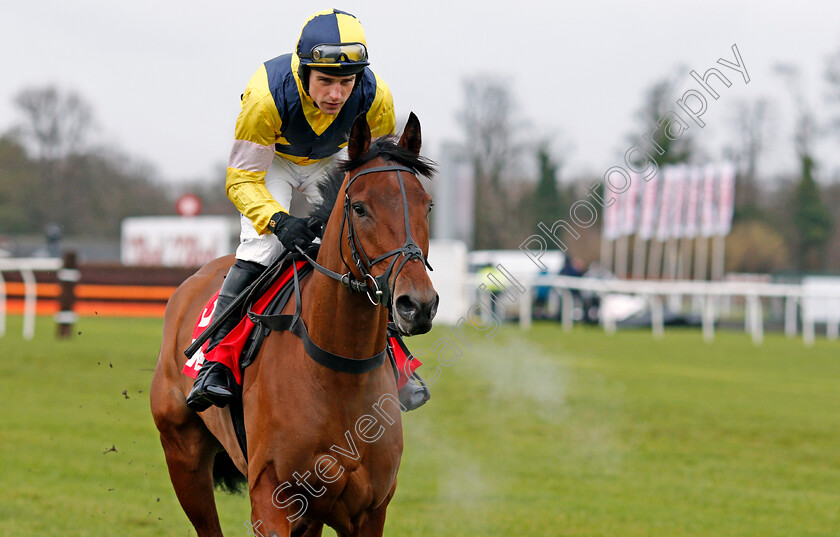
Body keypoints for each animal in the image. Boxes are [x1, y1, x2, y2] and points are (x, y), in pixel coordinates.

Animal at [152, 113, 440, 536]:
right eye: (360, 208)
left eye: (427, 206)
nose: (417, 305)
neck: (339, 370)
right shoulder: (272, 499)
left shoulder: (369, 509)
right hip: (182, 454)